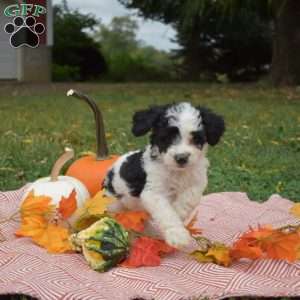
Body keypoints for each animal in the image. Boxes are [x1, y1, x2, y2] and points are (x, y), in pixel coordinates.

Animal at [103, 102, 225, 247]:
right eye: (166, 138)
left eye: (196, 139)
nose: (181, 158)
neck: (177, 172)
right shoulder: (153, 192)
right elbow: (166, 212)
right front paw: (177, 234)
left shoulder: (197, 181)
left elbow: (188, 199)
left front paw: (178, 213)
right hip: (114, 203)